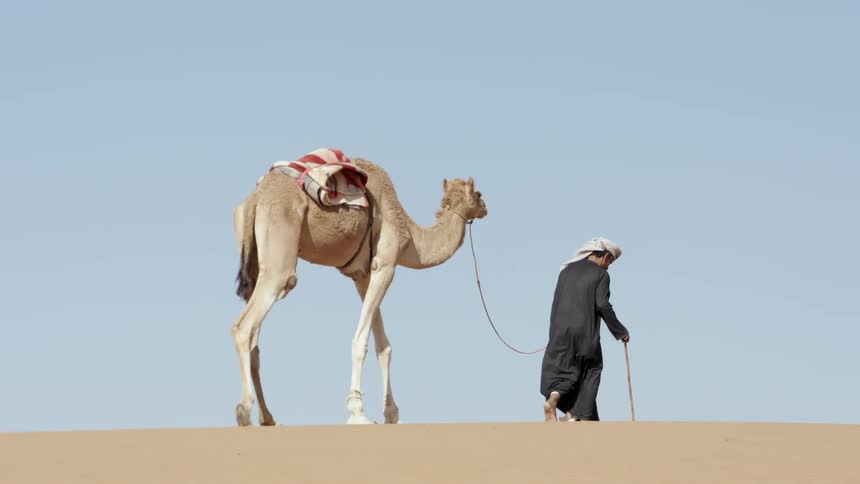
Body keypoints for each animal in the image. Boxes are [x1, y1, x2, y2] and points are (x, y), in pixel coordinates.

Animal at [231, 157, 488, 426]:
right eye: (478, 193)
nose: (485, 207)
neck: (409, 234)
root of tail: (255, 199)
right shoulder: (385, 264)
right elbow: (361, 341)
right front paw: (357, 413)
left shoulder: (362, 275)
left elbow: (383, 346)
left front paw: (392, 414)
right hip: (279, 260)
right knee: (244, 325)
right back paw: (243, 411)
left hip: (254, 265)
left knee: (255, 339)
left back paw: (269, 418)